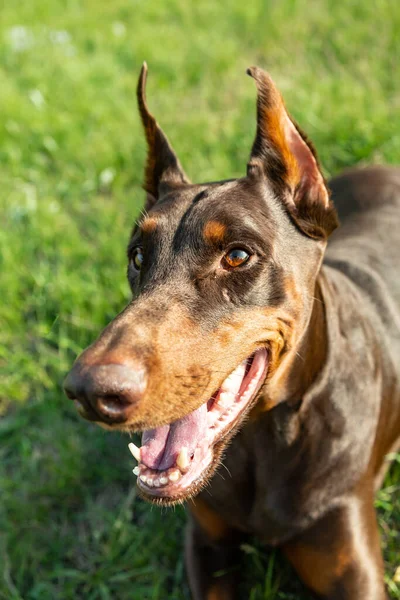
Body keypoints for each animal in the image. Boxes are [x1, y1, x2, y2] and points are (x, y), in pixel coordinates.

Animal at [64, 63, 400, 596]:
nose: (90, 391)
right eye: (137, 256)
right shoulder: (207, 543)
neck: (262, 439)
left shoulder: (353, 569)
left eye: (238, 255)